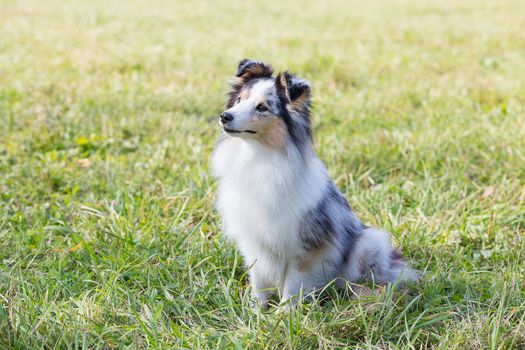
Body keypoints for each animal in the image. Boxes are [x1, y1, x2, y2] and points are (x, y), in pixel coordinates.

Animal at [211, 59, 416, 306]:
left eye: (262, 108)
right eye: (240, 99)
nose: (224, 116)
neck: (258, 156)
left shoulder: (306, 246)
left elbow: (293, 283)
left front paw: (284, 312)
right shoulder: (254, 240)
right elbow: (258, 280)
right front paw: (256, 309)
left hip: (368, 241)